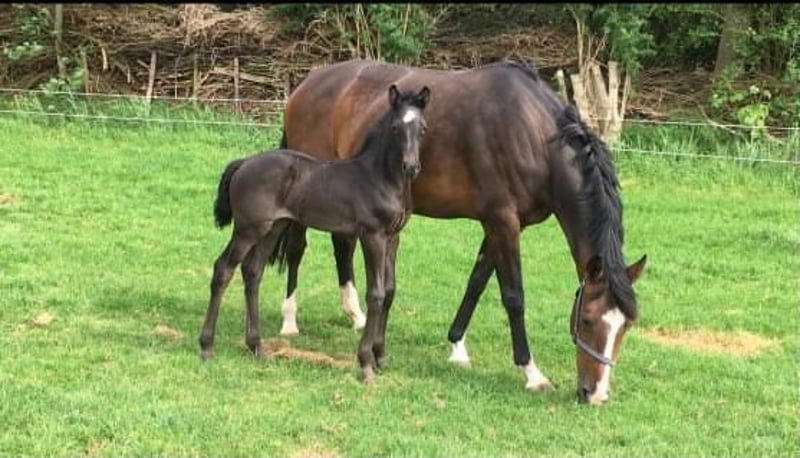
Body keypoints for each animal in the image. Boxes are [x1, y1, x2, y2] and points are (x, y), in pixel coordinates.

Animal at [198, 84, 431, 382]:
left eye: (422, 128)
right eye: (394, 128)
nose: (411, 167)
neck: (380, 179)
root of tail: (245, 163)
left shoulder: (393, 238)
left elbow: (389, 291)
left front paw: (380, 356)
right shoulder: (372, 236)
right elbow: (376, 294)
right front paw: (366, 363)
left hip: (273, 227)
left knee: (252, 271)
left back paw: (256, 346)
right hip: (248, 228)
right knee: (223, 269)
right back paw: (206, 347)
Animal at [275, 58, 647, 405]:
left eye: (626, 326)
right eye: (587, 320)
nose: (595, 394)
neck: (533, 135)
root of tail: (306, 84)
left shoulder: (500, 225)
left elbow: (477, 282)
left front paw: (457, 346)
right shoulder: (502, 222)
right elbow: (513, 297)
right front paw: (532, 373)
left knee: (342, 244)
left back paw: (354, 313)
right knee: (297, 248)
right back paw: (289, 321)